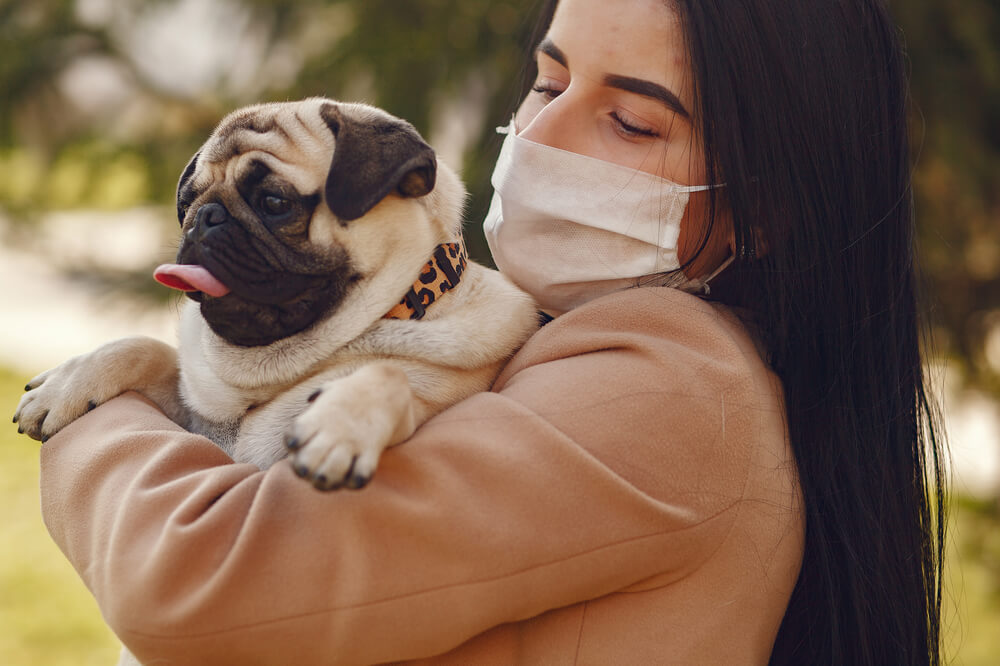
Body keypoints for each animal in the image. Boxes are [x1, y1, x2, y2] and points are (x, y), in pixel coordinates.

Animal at [11, 96, 540, 488]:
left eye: (274, 203)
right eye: (187, 202)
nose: (205, 217)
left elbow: (390, 374)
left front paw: (341, 425)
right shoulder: (197, 423)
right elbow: (144, 347)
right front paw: (68, 383)